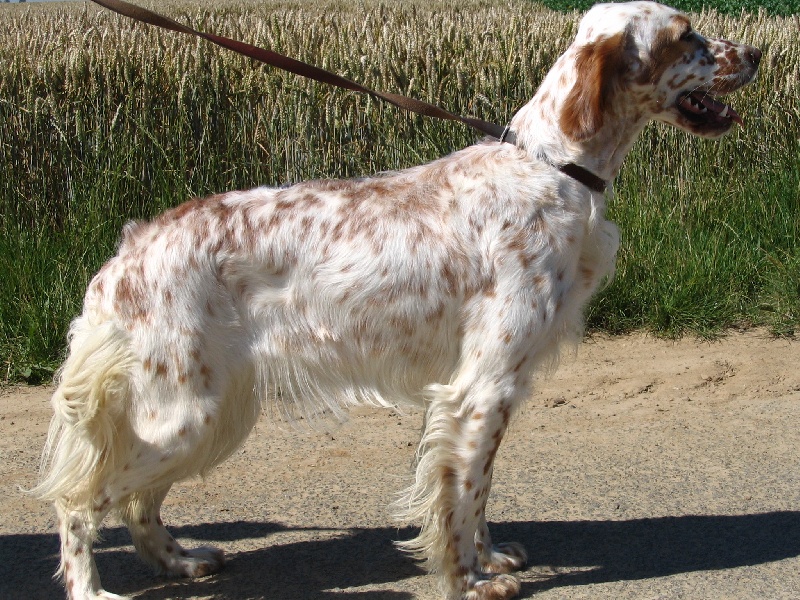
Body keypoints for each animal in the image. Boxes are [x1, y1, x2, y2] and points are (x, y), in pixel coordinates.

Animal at [35, 2, 760, 599]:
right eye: (685, 35)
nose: (756, 53)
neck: (554, 167)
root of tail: (125, 255)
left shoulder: (490, 388)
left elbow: (478, 487)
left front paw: (488, 559)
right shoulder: (484, 385)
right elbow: (461, 493)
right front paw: (468, 580)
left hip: (207, 412)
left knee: (136, 502)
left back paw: (180, 561)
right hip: (186, 414)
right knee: (78, 502)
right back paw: (93, 591)